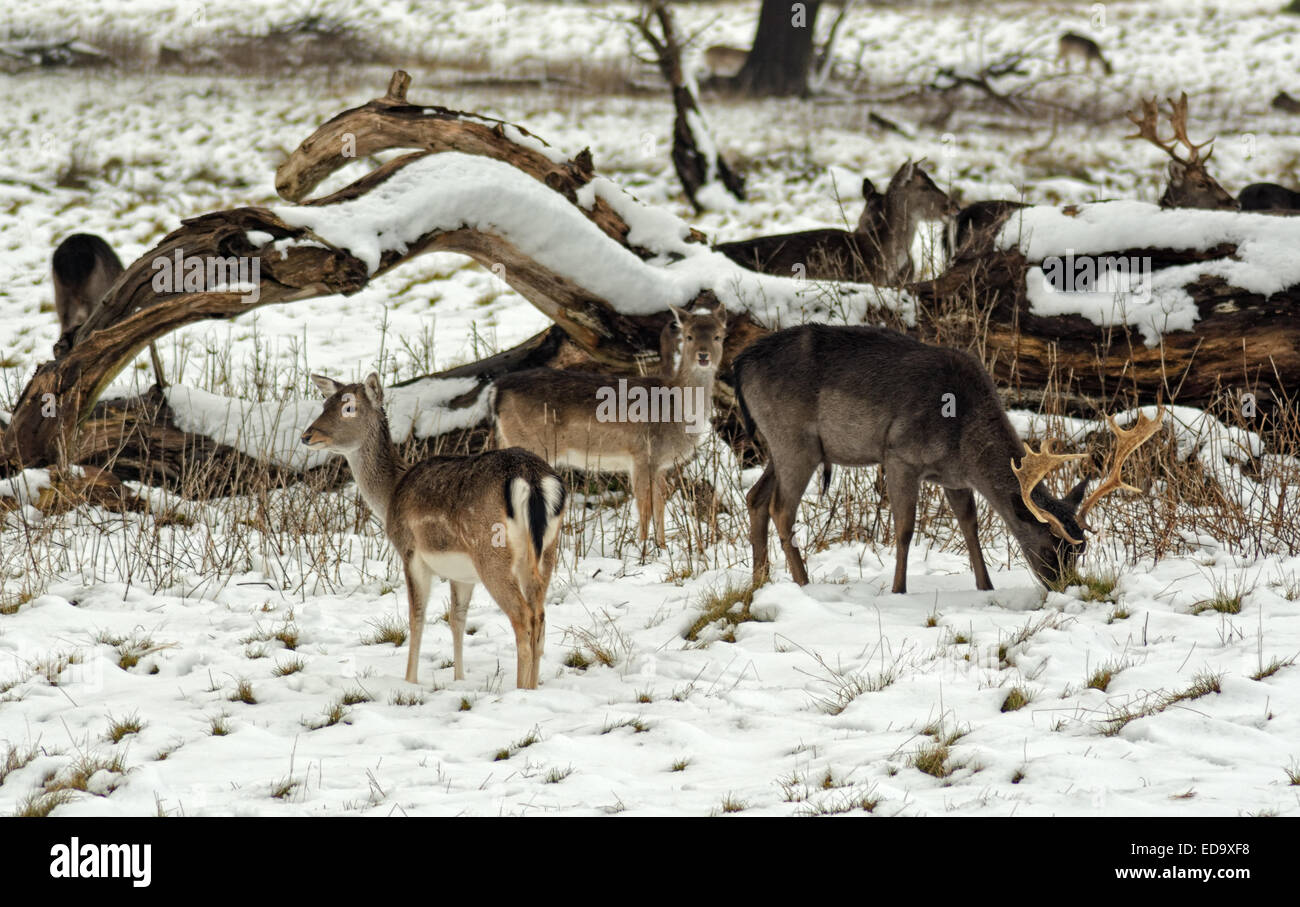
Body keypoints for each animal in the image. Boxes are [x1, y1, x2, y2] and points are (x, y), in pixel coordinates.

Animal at [306, 371, 572, 691]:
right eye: (325, 403)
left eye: (348, 407)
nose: (307, 436)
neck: (391, 493)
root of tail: (532, 478)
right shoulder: (462, 573)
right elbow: (456, 618)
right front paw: (459, 678)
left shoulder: (409, 551)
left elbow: (416, 616)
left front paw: (409, 680)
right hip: (547, 550)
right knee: (540, 614)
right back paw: (533, 687)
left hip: (492, 553)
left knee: (523, 616)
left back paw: (520, 689)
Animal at [488, 300, 728, 548]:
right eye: (689, 336)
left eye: (719, 336)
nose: (703, 355)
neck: (678, 412)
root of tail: (496, 390)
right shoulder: (642, 455)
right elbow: (645, 506)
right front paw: (643, 548)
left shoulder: (660, 464)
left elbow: (660, 505)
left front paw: (661, 546)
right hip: (531, 443)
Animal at [733, 320, 1170, 589]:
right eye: (1051, 547)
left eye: (1079, 550)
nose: (1065, 587)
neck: (963, 438)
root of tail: (739, 364)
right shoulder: (899, 454)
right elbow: (905, 529)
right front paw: (898, 590)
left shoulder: (953, 477)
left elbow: (969, 526)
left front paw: (986, 586)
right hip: (796, 442)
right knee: (780, 509)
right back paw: (803, 584)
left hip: (779, 445)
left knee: (754, 498)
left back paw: (760, 582)